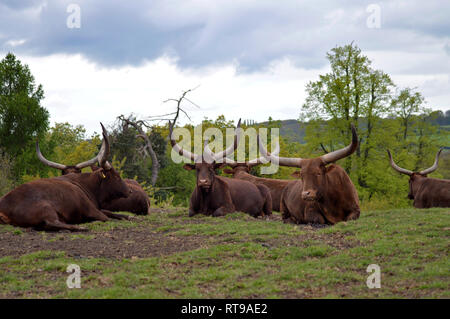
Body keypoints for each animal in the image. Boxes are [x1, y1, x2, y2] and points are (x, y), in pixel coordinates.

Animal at [0, 125, 131, 232]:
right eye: (117, 176)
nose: (129, 191)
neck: (85, 185)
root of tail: (4, 204)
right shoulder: (91, 209)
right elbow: (108, 218)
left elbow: (114, 213)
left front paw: (128, 216)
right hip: (46, 208)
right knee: (52, 222)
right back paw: (80, 227)